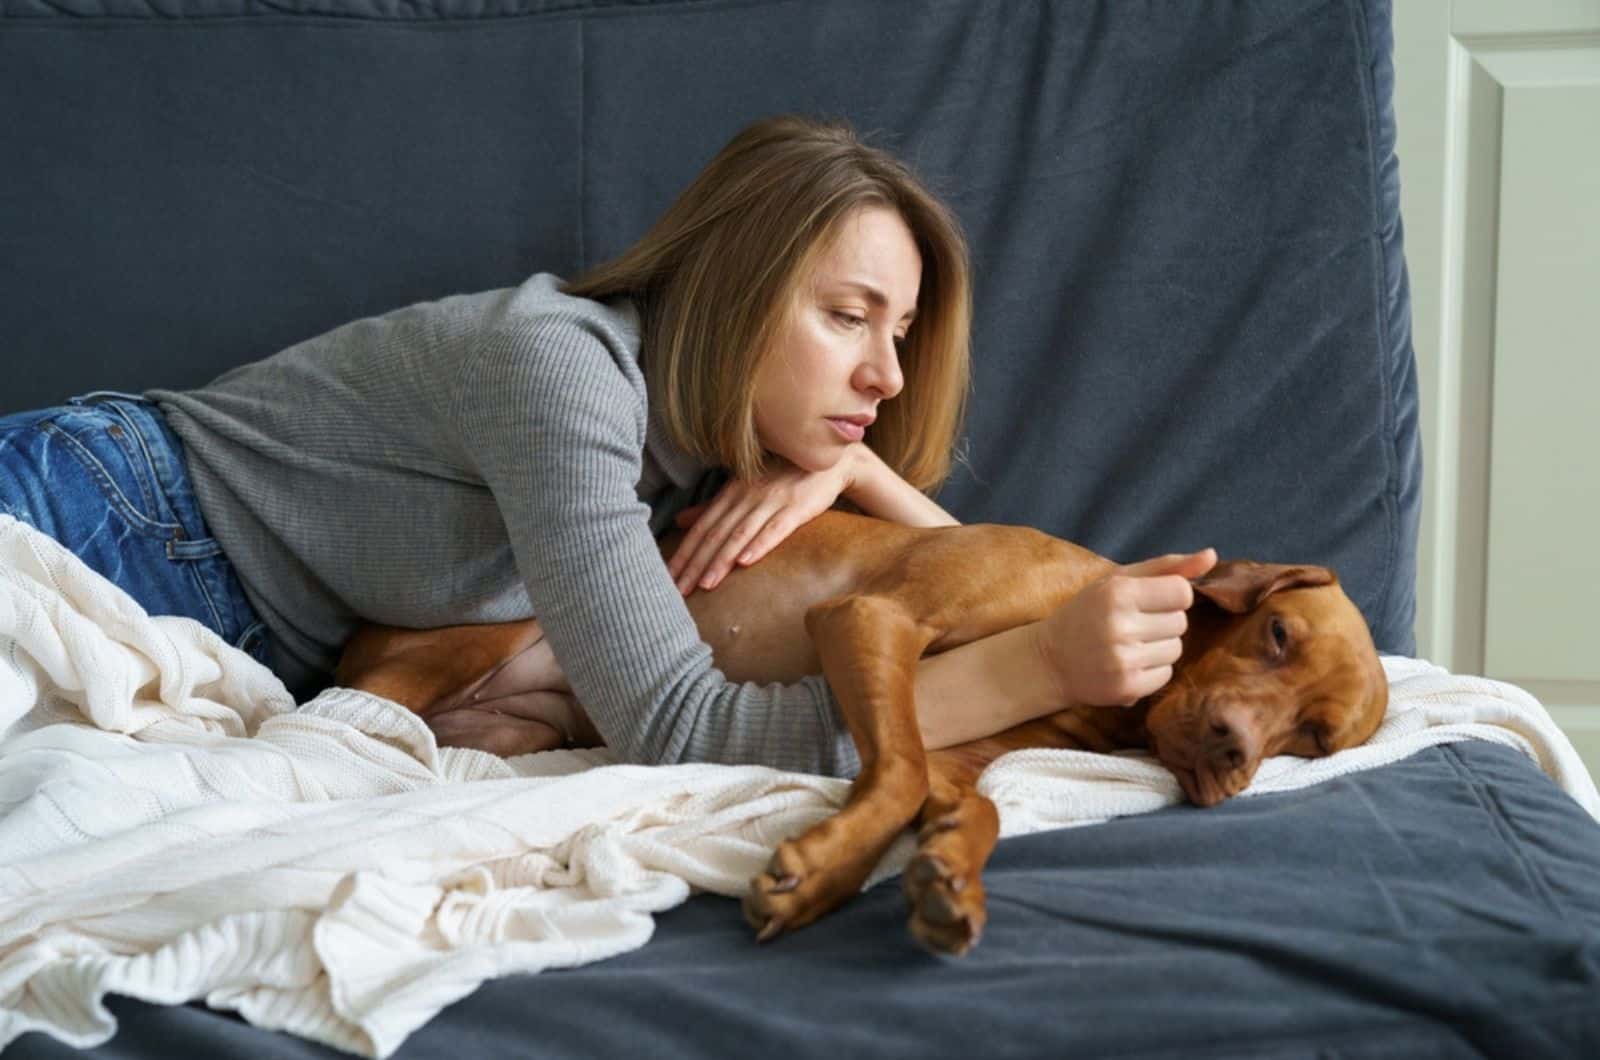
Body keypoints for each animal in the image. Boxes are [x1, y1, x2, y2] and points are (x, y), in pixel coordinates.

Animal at [334, 512, 1388, 960]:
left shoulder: (965, 755)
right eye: (1277, 634)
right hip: (469, 638)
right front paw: (819, 873)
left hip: (524, 721)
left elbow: (973, 805)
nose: (1231, 750)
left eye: (1312, 739)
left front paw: (946, 876)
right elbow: (899, 770)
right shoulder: (872, 621)